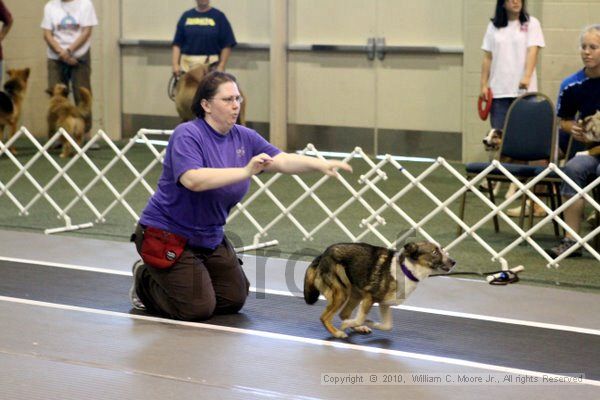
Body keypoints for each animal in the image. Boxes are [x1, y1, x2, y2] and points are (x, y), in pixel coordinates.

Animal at [304, 241, 454, 338]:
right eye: (434, 252)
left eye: (442, 249)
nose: (453, 262)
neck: (406, 269)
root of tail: (322, 255)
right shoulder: (369, 298)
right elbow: (360, 318)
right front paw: (352, 324)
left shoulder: (384, 304)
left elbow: (387, 325)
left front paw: (368, 322)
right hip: (342, 292)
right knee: (324, 317)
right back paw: (337, 332)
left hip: (355, 294)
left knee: (343, 314)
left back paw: (358, 327)